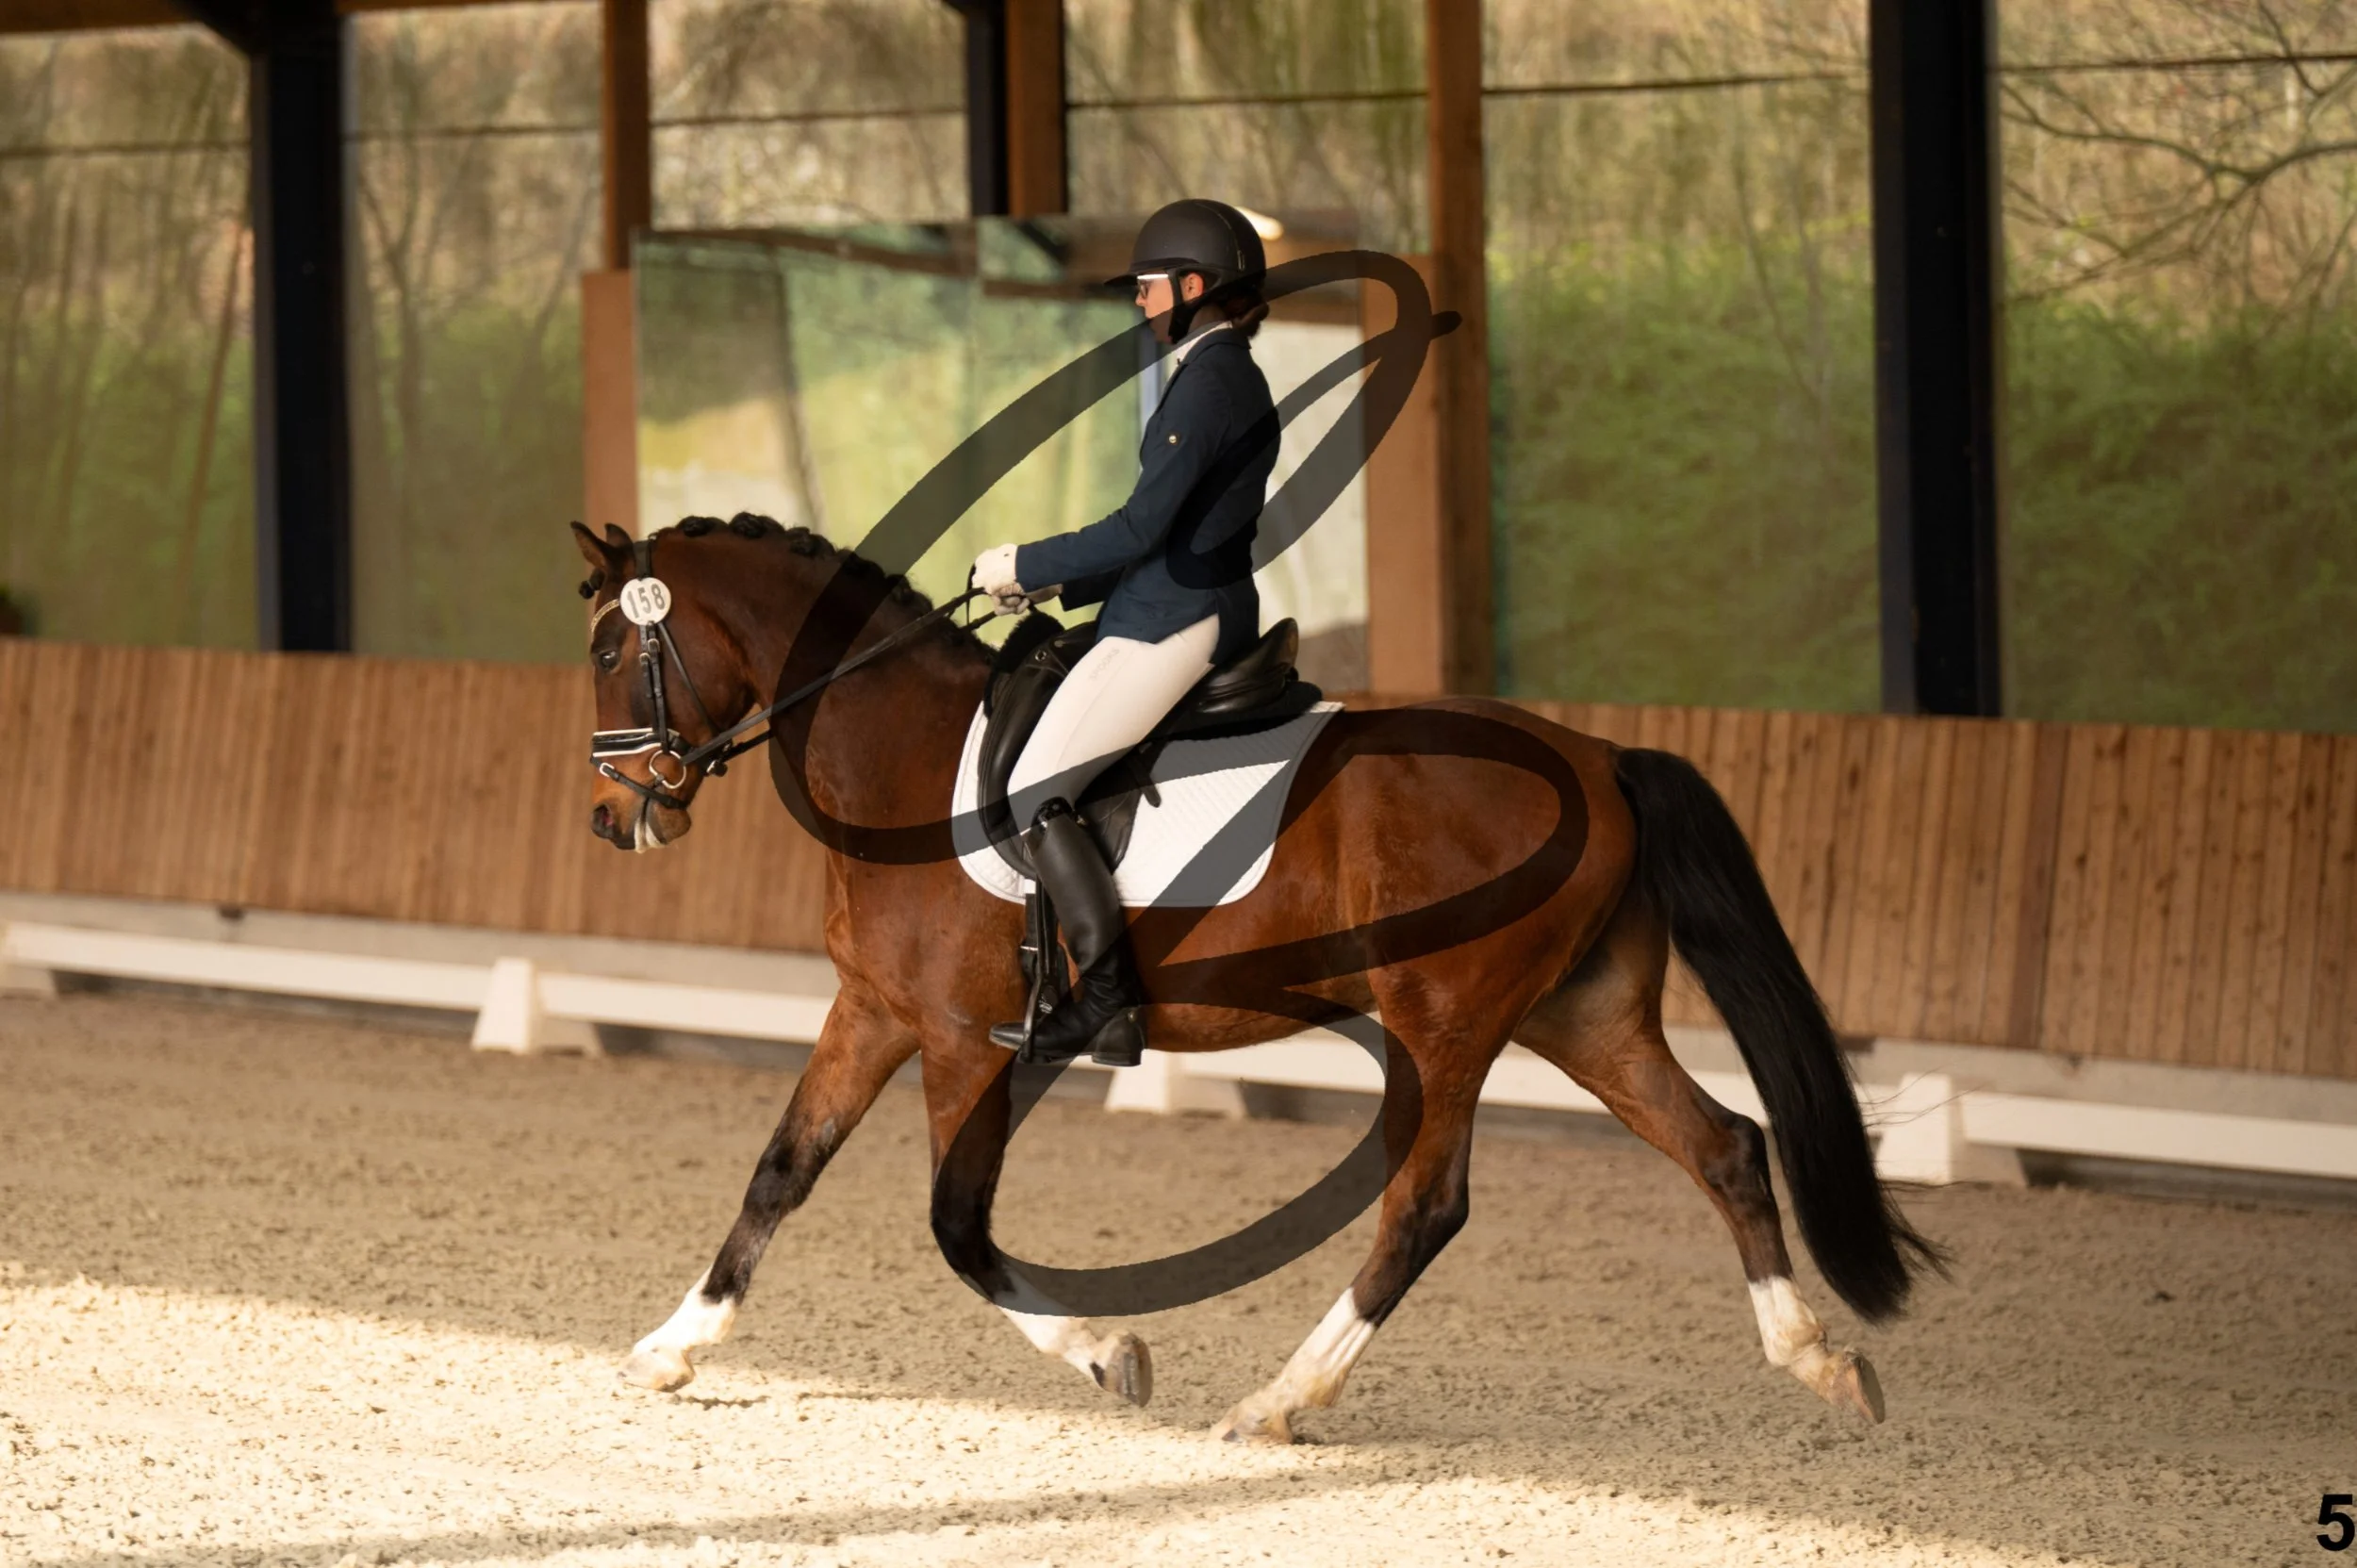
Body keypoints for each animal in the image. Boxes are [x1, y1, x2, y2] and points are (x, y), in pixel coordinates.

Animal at [571, 512, 1941, 1444]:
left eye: (607, 651)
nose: (609, 815)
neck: (899, 753)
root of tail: (1601, 754)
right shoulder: (873, 1011)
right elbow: (780, 1173)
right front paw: (671, 1345)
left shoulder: (961, 1039)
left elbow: (959, 1229)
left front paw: (1111, 1354)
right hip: (1583, 1015)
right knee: (1724, 1145)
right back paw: (1819, 1359)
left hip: (1444, 1023)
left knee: (1422, 1209)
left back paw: (1279, 1398)